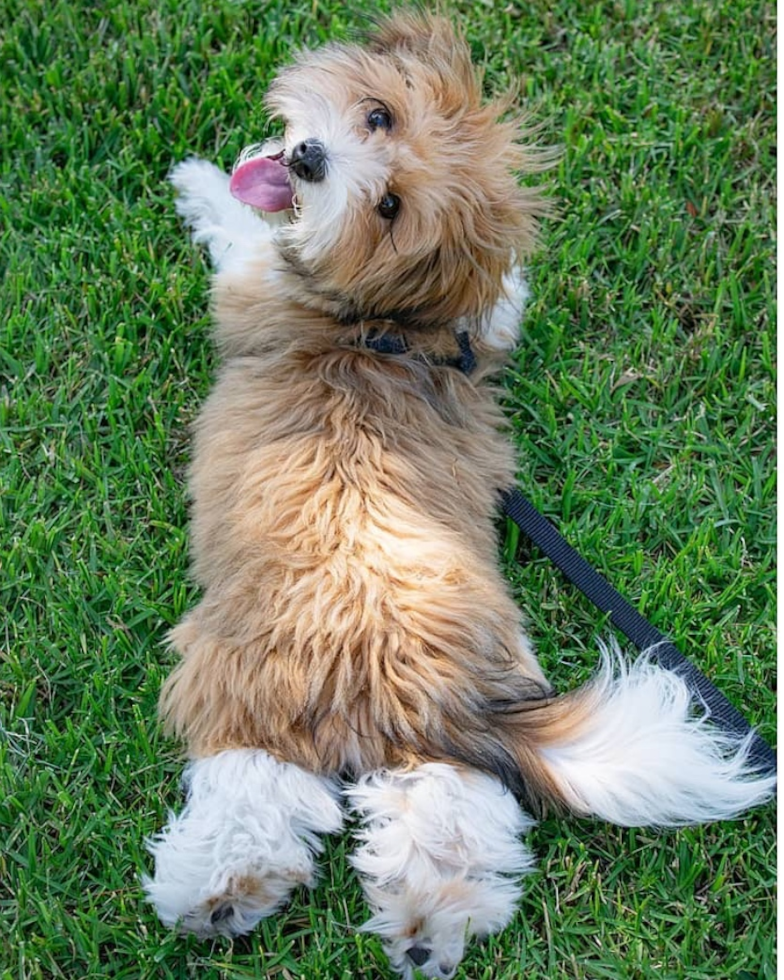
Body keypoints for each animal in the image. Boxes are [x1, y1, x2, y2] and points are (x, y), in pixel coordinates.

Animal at [142, 11, 776, 976]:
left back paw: (213, 897)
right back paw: (430, 929)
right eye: (377, 115)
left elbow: (238, 228)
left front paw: (198, 179)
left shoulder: (252, 278)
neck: (387, 327)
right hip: (442, 755)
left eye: (388, 208)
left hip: (247, 702)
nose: (310, 160)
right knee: (444, 823)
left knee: (256, 804)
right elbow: (506, 300)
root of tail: (416, 692)